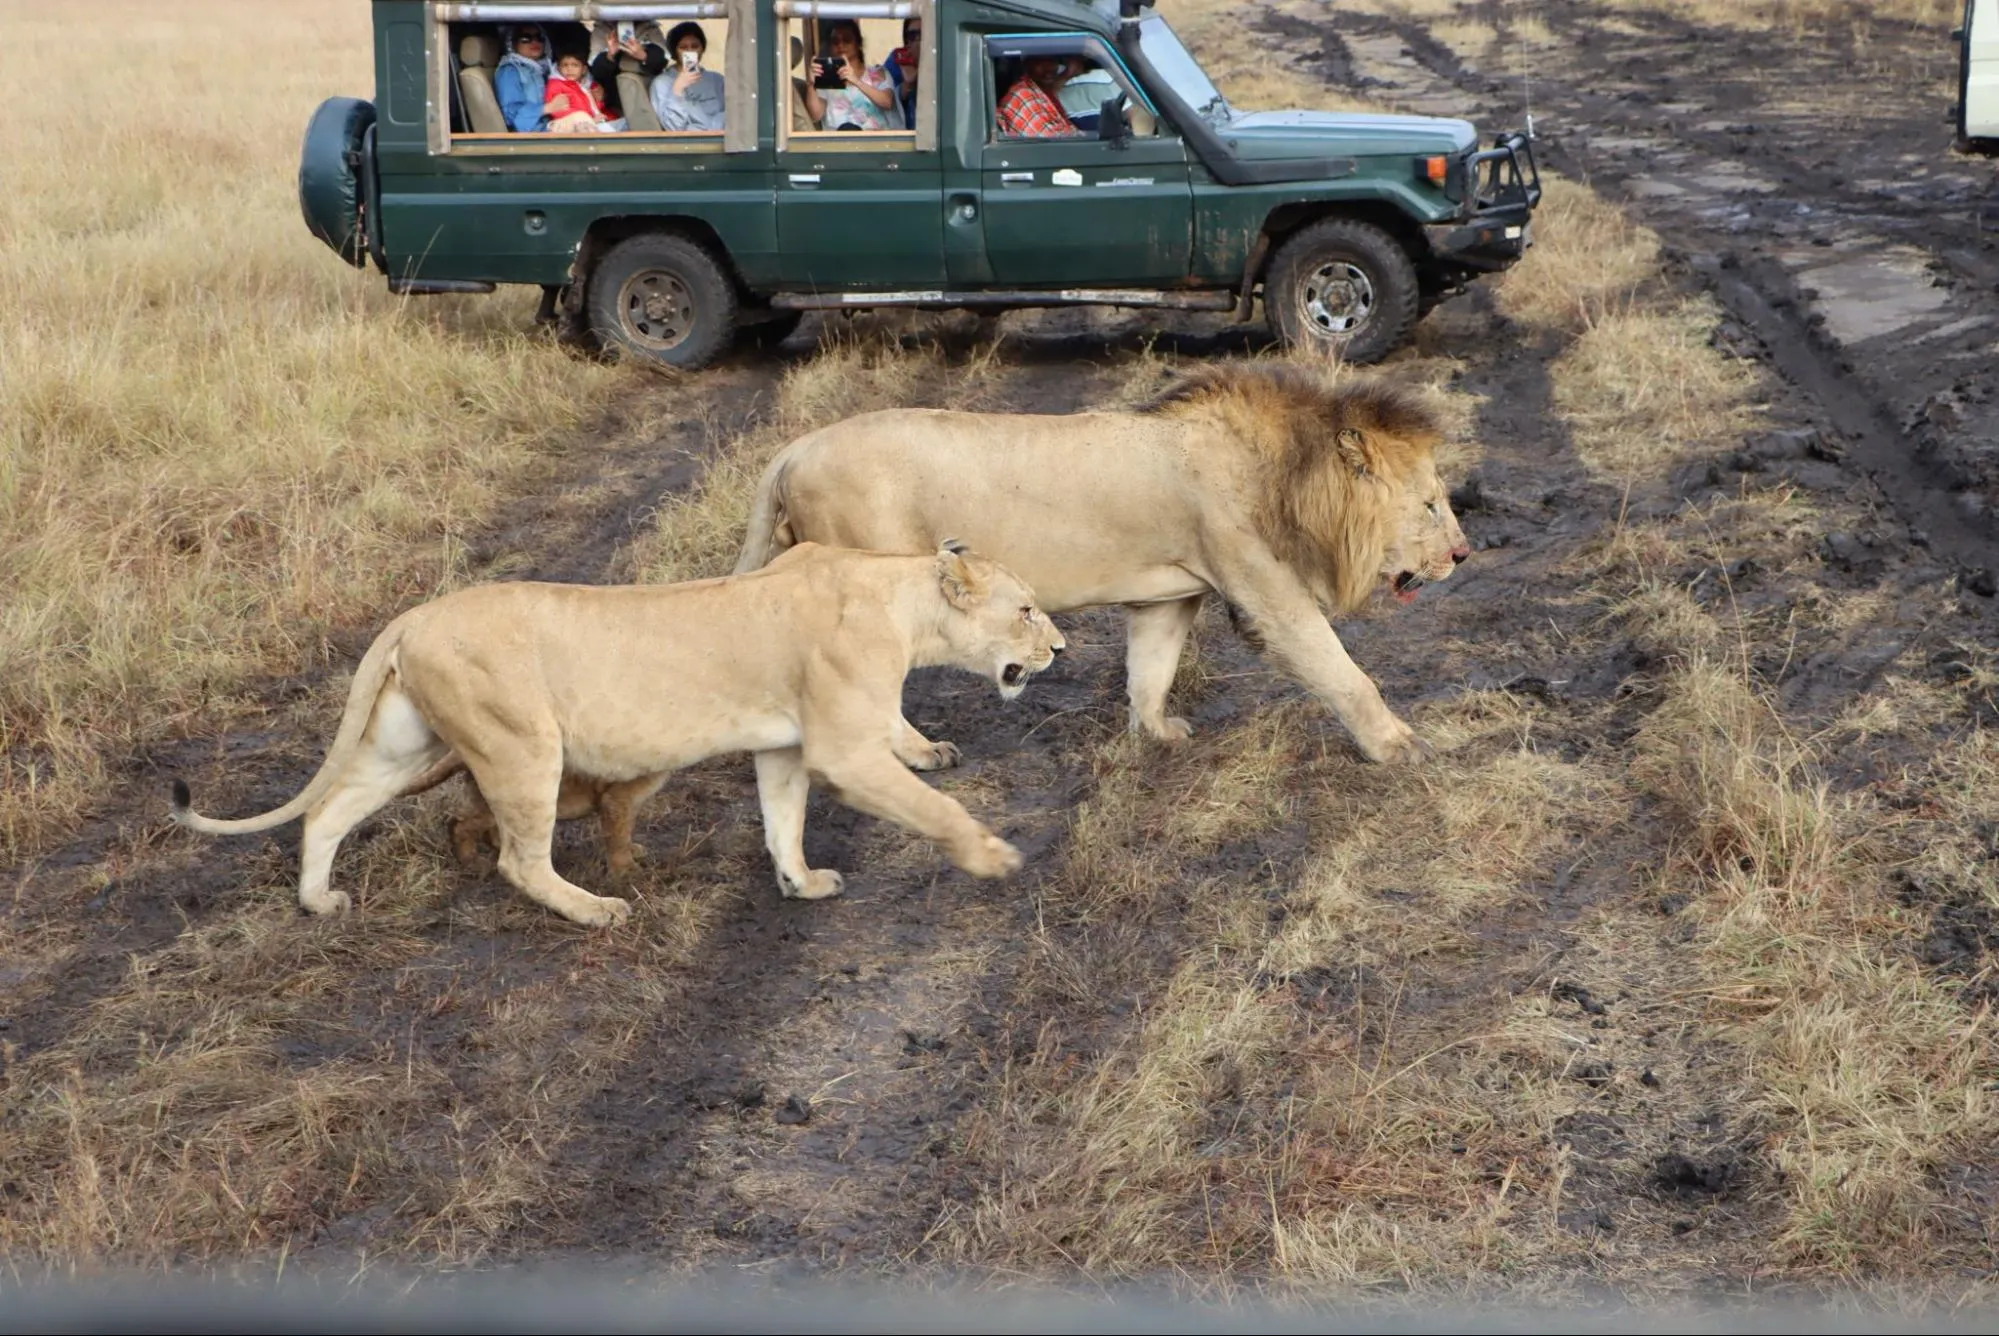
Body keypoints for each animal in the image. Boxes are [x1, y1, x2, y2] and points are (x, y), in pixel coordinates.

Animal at [171, 544, 1071, 928]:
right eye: (1027, 608)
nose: (1061, 649)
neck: (902, 601)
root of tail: (415, 615)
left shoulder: (784, 747)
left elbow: (783, 820)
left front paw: (801, 884)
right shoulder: (842, 750)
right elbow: (932, 806)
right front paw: (994, 858)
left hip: (410, 745)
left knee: (330, 811)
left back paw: (318, 900)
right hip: (521, 744)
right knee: (518, 859)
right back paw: (596, 908)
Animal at [735, 362, 1471, 760]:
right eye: (1432, 504)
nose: (1464, 554)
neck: (1286, 476)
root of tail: (792, 450)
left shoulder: (1168, 598)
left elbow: (1150, 670)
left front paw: (1157, 734)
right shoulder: (1269, 596)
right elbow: (1344, 673)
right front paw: (1397, 746)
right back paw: (921, 753)